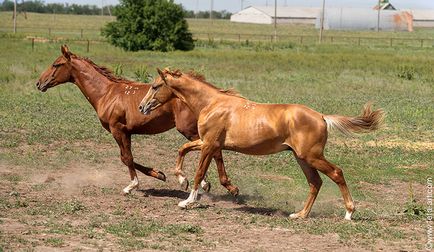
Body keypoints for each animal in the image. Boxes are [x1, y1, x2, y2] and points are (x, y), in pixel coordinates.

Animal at [35, 44, 239, 195]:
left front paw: (132, 185)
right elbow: (126, 157)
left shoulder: (118, 129)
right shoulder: (126, 132)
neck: (106, 94)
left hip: (189, 129)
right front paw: (159, 174)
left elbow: (127, 158)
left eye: (56, 64)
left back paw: (222, 186)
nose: (39, 83)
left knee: (214, 151)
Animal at [139, 69, 384, 220]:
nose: (142, 107)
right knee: (315, 183)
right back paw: (300, 215)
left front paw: (187, 201)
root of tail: (322, 117)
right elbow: (182, 151)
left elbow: (199, 172)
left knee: (336, 173)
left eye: (155, 86)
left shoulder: (208, 145)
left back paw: (349, 213)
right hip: (301, 158)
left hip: (311, 156)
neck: (213, 103)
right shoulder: (210, 144)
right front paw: (182, 180)